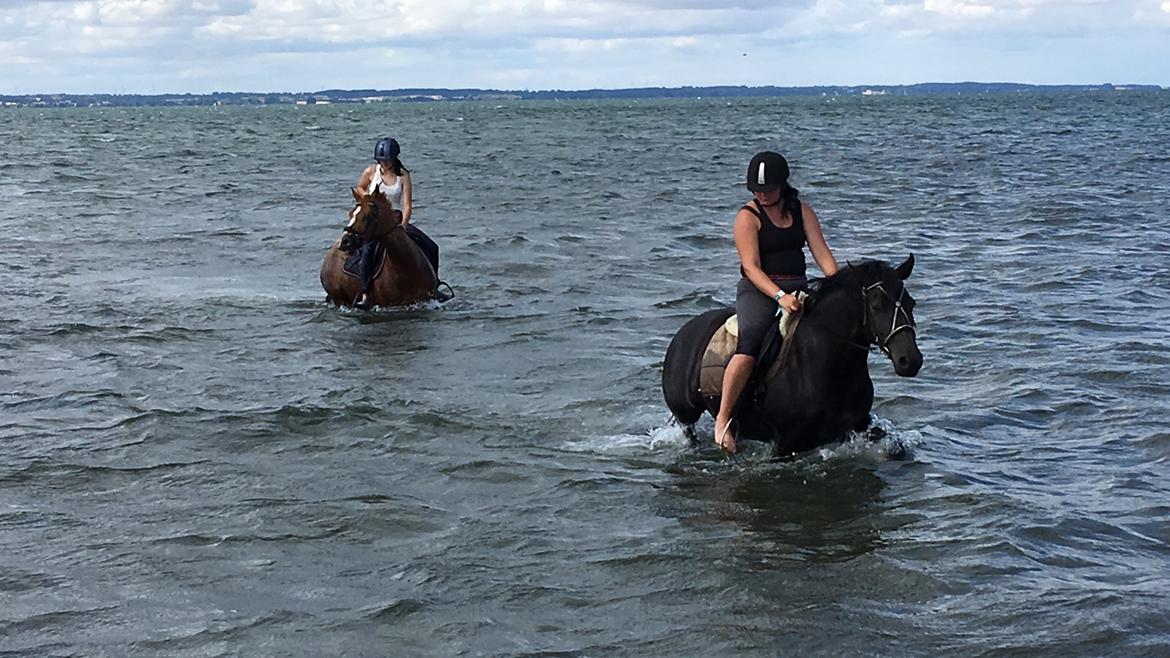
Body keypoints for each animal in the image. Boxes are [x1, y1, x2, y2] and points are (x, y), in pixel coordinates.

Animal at [664, 256, 917, 456]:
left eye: (911, 303)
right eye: (876, 306)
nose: (910, 361)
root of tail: (683, 333)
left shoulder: (854, 426)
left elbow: (893, 446)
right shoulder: (787, 443)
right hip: (685, 413)